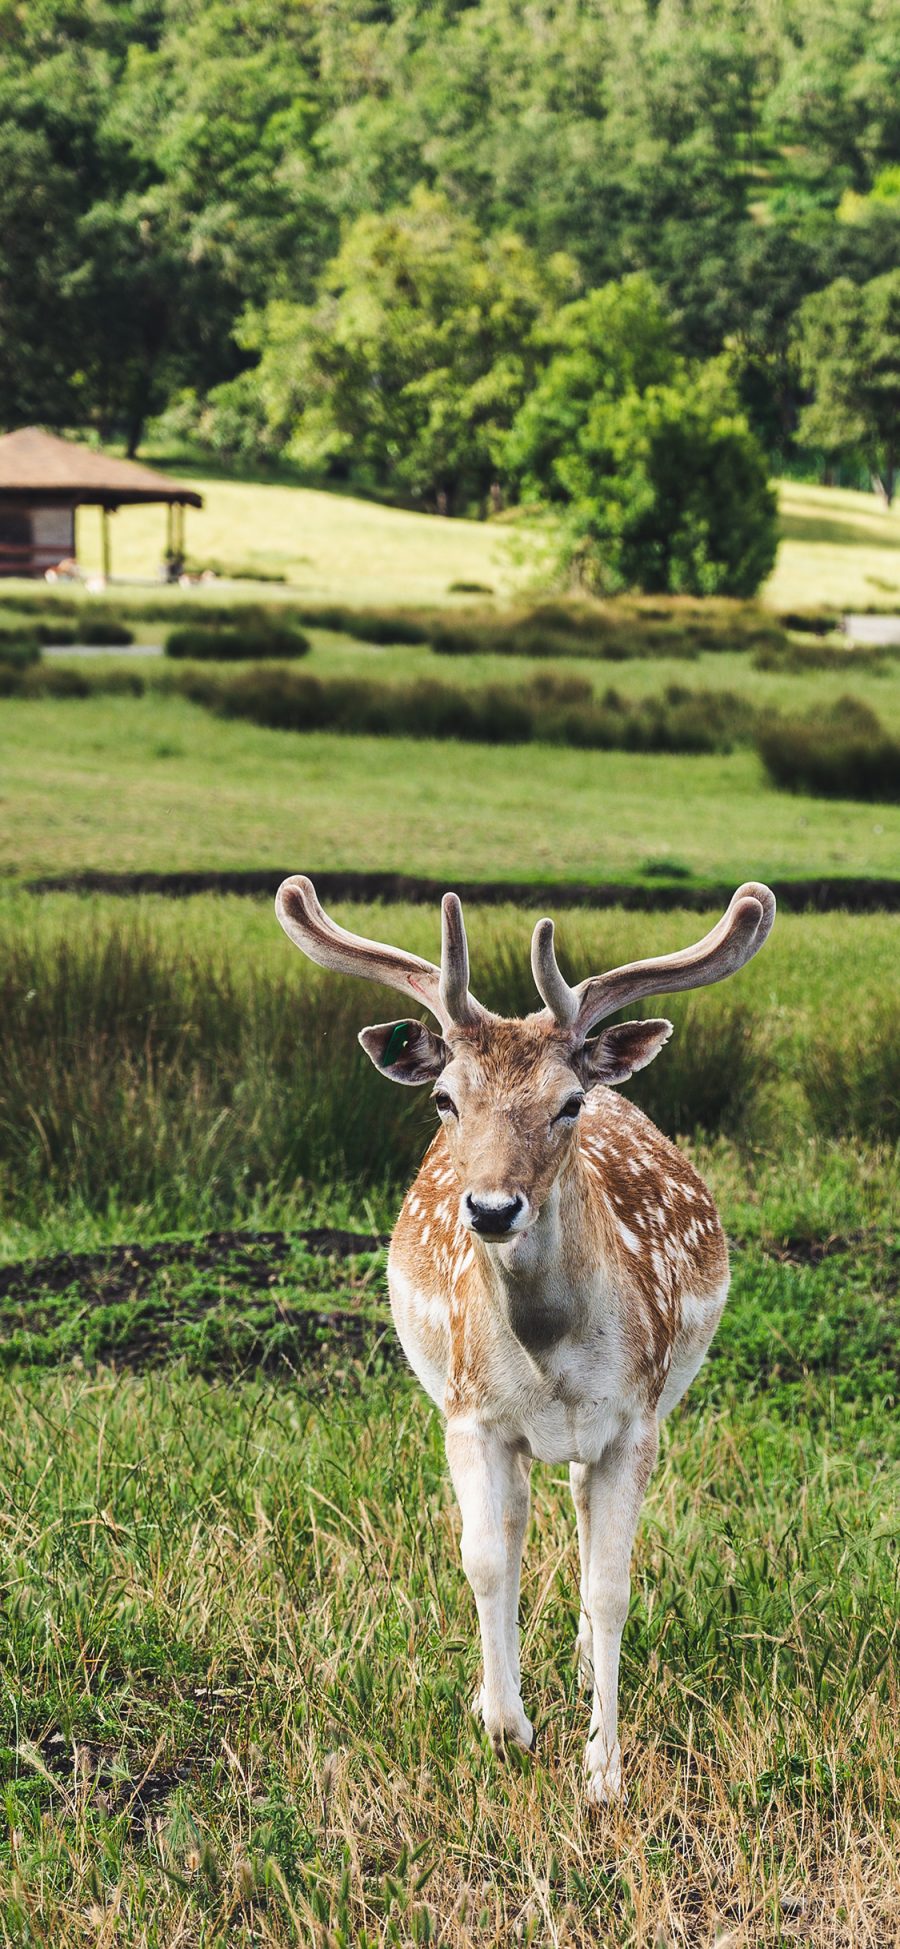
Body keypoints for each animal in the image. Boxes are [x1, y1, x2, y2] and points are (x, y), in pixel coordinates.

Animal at [272, 877, 775, 1800]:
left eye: (565, 1103)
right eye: (446, 1099)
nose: (492, 1207)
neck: (549, 1352)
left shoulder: (635, 1418)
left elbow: (612, 1586)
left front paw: (603, 1769)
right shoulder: (470, 1413)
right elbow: (485, 1558)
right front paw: (505, 1723)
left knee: (574, 1507)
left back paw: (578, 1666)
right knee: (515, 1526)